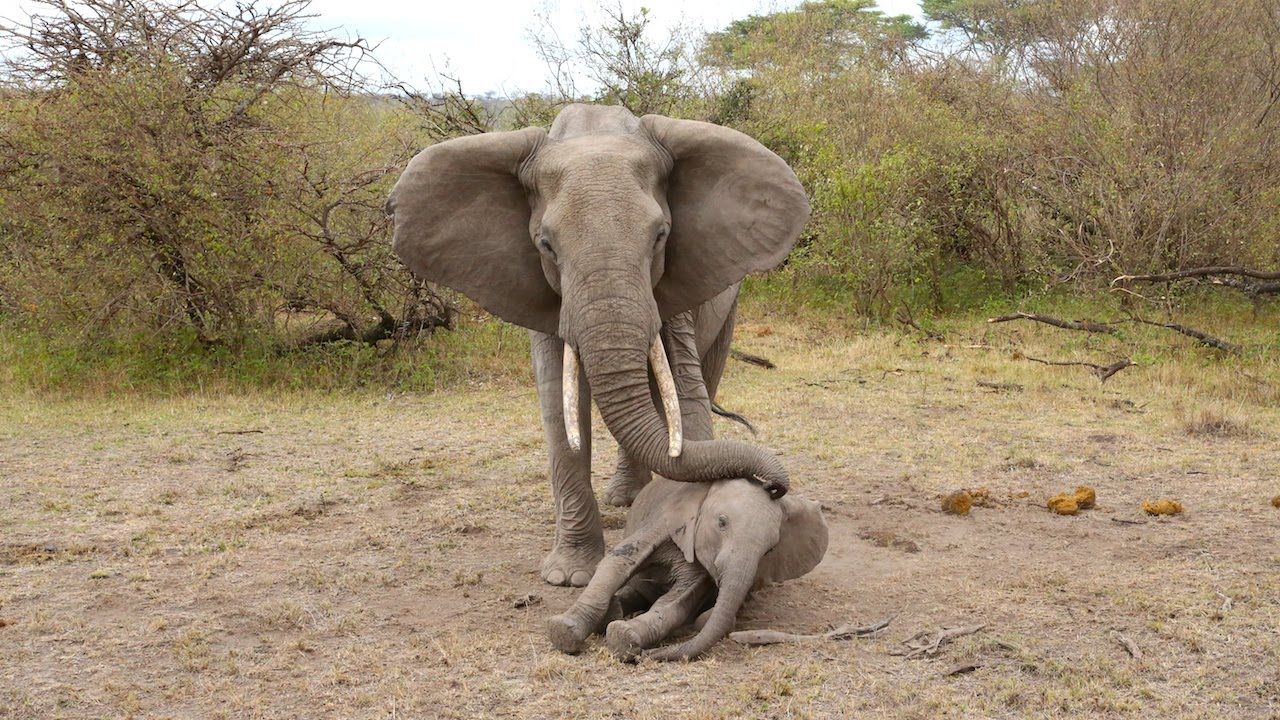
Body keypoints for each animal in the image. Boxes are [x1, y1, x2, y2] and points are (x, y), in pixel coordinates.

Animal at [386, 102, 808, 584]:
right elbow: (558, 403)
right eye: (546, 245)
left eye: (661, 236)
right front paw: (569, 576)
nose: (774, 486)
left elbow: (686, 393)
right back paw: (623, 501)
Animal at [545, 474, 824, 661]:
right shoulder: (665, 518)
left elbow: (679, 603)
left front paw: (625, 637)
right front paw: (563, 632)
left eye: (769, 549)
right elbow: (618, 561)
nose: (647, 656)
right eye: (722, 522)